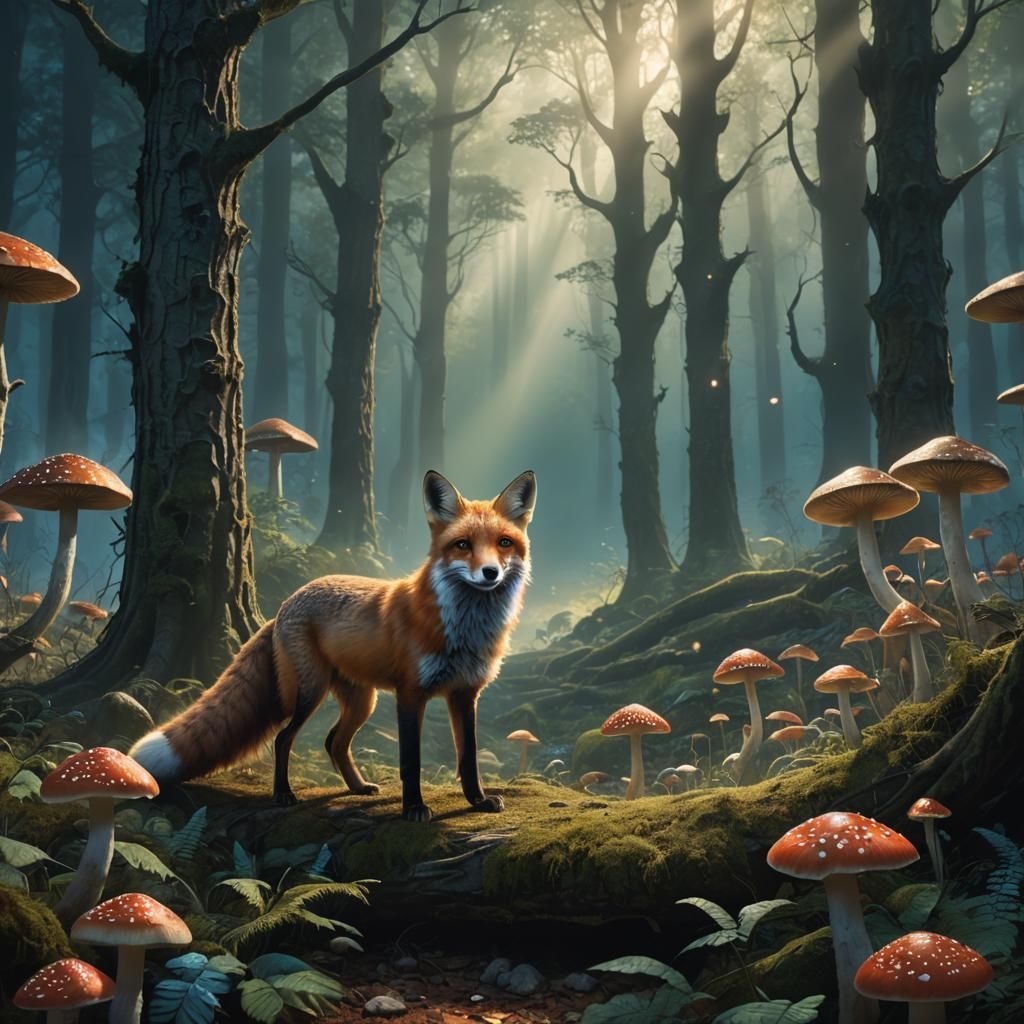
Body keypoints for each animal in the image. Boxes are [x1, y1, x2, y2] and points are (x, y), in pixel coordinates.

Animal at [129, 470, 537, 822]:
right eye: (462, 545)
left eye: (503, 543)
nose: (490, 573)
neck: (464, 630)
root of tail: (284, 605)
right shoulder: (410, 693)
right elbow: (411, 761)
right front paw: (413, 809)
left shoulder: (465, 694)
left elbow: (468, 757)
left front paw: (477, 801)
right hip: (311, 690)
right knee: (284, 738)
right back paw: (283, 794)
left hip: (361, 699)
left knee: (333, 742)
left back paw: (357, 787)